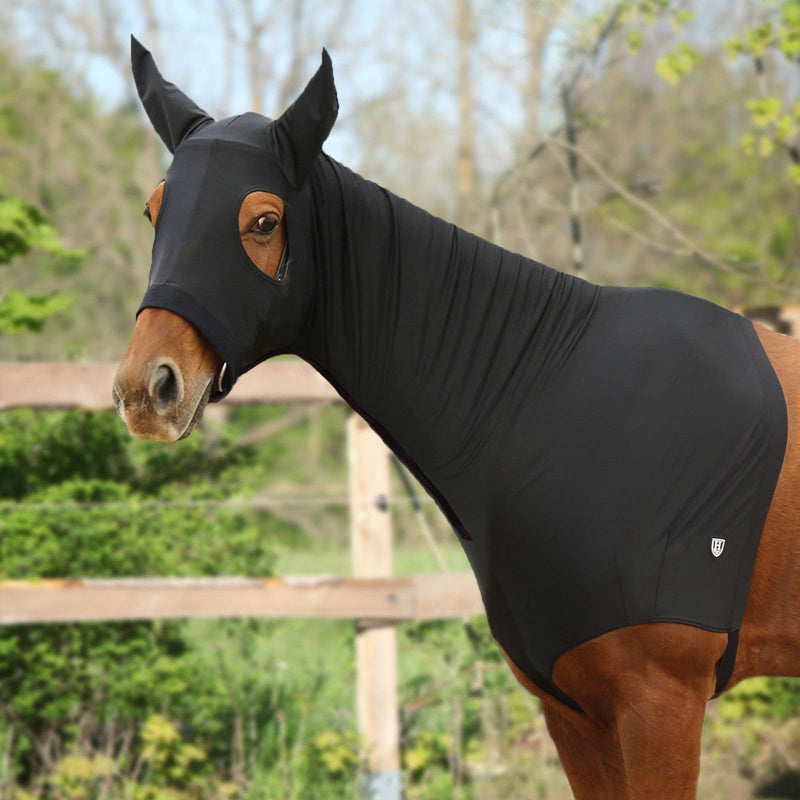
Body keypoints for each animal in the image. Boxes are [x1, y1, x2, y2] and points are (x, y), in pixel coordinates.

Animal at [113, 38, 800, 799]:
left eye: (263, 221)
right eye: (153, 211)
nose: (147, 389)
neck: (549, 399)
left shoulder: (661, 701)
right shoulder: (576, 712)